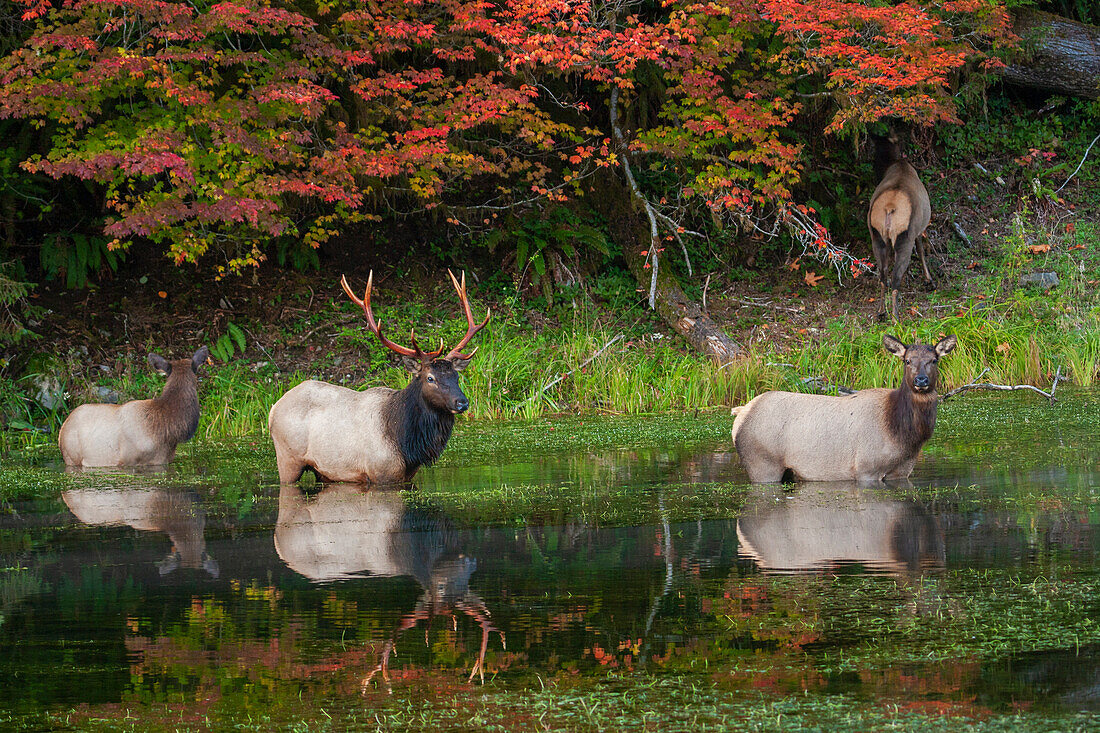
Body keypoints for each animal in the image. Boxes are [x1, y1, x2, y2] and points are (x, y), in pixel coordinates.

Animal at [268, 270, 488, 482]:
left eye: (456, 377)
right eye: (430, 378)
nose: (462, 402)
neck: (406, 445)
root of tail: (272, 410)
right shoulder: (381, 473)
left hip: (322, 471)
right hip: (288, 459)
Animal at [730, 334, 954, 482]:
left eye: (934, 360)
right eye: (907, 360)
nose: (921, 380)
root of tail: (741, 413)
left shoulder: (902, 471)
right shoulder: (866, 468)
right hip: (761, 463)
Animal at [866, 133, 928, 319]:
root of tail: (889, 208)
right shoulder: (918, 230)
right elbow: (921, 250)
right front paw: (929, 280)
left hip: (877, 236)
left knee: (883, 275)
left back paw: (881, 312)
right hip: (904, 238)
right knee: (895, 278)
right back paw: (895, 318)